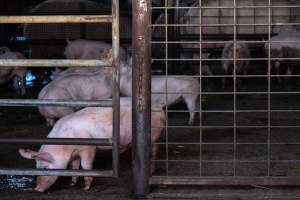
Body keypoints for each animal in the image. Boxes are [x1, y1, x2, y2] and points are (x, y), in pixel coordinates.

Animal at [19, 97, 164, 191]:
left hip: (154, 135)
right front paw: (72, 184)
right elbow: (74, 166)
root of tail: (159, 106)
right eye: (36, 167)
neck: (65, 146)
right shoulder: (75, 153)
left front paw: (86, 188)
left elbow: (85, 165)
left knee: (154, 150)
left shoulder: (88, 147)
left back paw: (152, 170)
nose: (36, 189)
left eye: (44, 167)